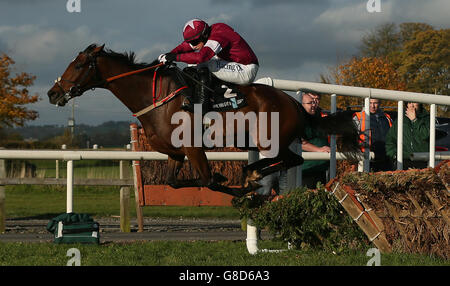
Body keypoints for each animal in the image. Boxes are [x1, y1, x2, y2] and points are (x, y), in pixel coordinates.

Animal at [47, 44, 360, 197]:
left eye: (79, 64)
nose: (53, 93)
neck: (157, 97)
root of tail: (293, 102)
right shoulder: (175, 152)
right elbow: (173, 182)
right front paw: (240, 182)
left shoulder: (194, 148)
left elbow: (208, 180)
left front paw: (238, 186)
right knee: (285, 160)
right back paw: (253, 172)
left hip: (271, 139)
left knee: (290, 159)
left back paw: (253, 173)